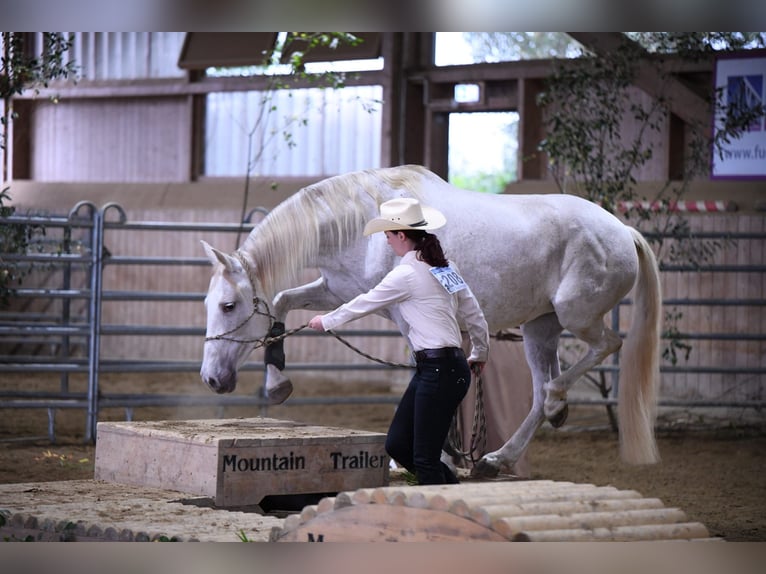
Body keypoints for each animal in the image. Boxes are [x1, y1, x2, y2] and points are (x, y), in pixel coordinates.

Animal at [200, 165, 662, 475]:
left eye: (228, 306)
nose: (211, 380)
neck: (361, 222)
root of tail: (622, 230)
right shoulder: (337, 290)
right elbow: (281, 302)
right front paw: (278, 384)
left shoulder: (394, 307)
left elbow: (422, 369)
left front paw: (432, 457)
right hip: (540, 327)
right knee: (538, 390)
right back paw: (500, 456)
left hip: (575, 314)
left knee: (602, 348)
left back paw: (551, 405)